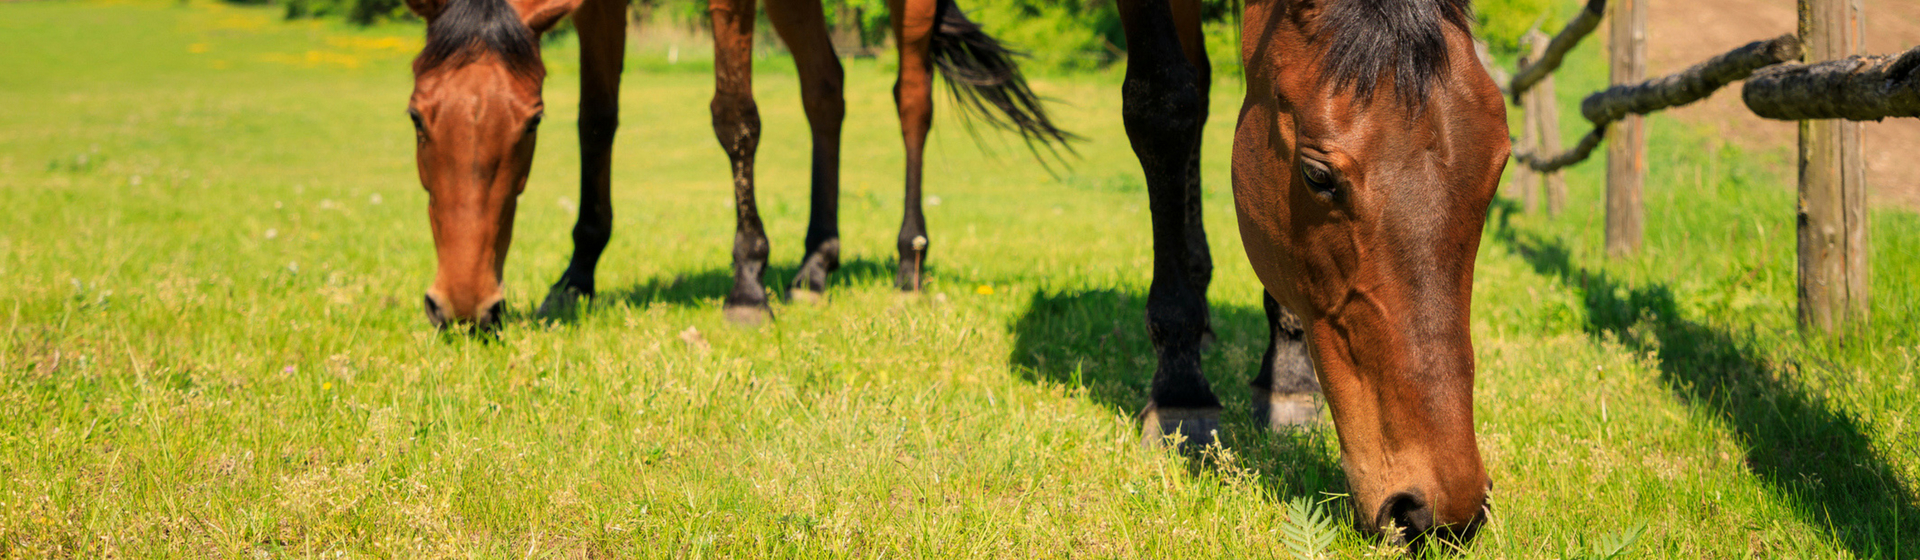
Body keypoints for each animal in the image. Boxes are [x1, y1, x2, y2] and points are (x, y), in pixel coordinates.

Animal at [398, 0, 1507, 546]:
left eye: (1499, 169)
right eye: (1318, 174)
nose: (1434, 506)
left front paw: (1279, 373)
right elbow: (1167, 99)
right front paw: (1182, 378)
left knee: (886, 87)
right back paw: (822, 265)